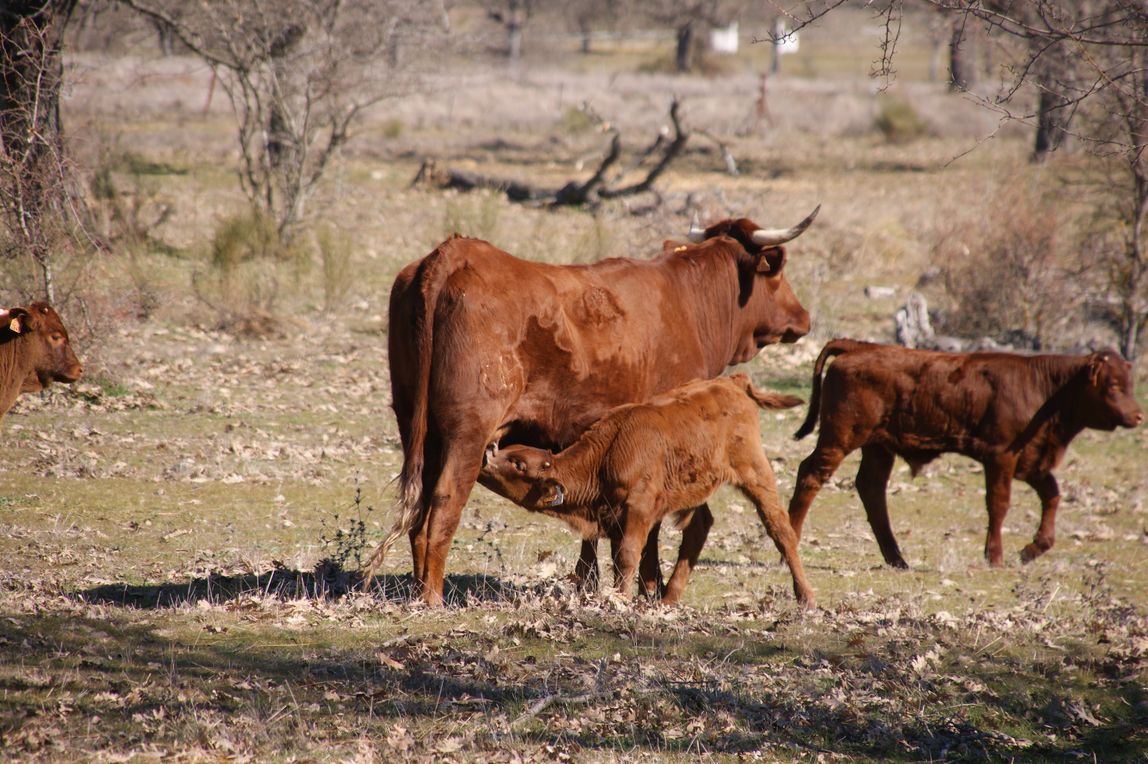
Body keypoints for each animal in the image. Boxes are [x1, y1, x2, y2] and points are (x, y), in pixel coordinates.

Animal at [477, 371, 817, 605]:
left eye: (519, 463)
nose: (488, 452)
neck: (609, 451)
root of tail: (730, 381)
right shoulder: (615, 516)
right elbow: (619, 559)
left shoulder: (638, 510)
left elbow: (628, 555)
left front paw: (620, 600)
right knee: (699, 527)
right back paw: (668, 599)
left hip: (755, 472)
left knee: (780, 529)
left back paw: (806, 597)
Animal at [785, 337, 1143, 564]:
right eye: (1112, 385)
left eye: (1129, 383)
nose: (1138, 415)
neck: (1045, 387)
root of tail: (859, 347)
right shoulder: (1001, 457)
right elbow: (999, 504)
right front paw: (995, 556)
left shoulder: (1031, 462)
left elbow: (1052, 495)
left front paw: (1031, 550)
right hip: (840, 438)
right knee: (811, 475)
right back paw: (790, 543)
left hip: (878, 447)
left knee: (871, 489)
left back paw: (897, 559)